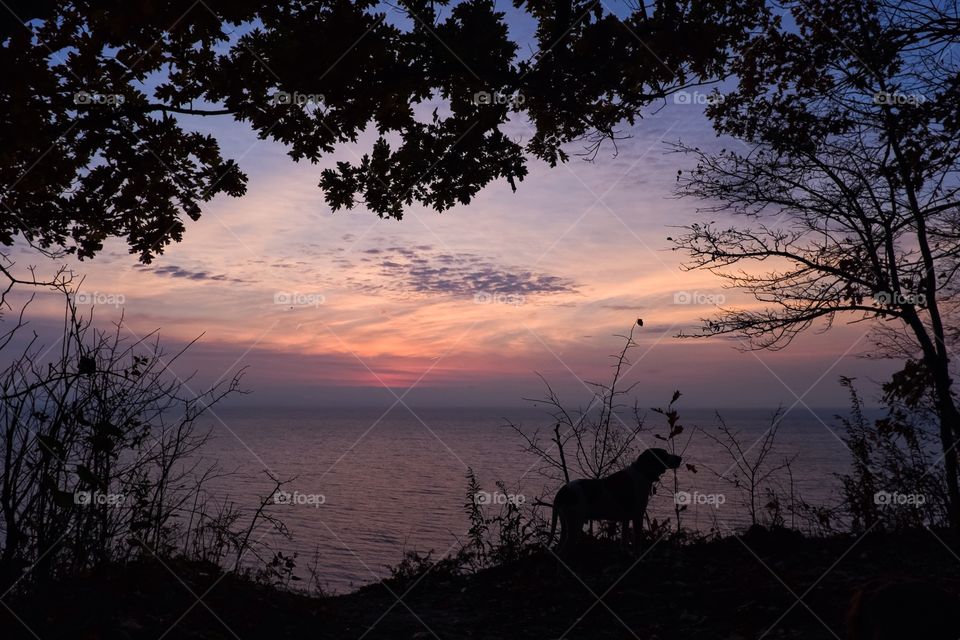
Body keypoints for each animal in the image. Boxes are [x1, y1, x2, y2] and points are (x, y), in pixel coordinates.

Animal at [548, 448, 684, 556]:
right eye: (664, 454)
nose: (680, 458)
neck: (642, 471)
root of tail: (563, 491)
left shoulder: (626, 519)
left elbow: (624, 540)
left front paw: (626, 553)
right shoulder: (637, 516)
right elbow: (637, 542)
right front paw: (638, 556)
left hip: (566, 525)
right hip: (575, 525)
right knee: (563, 551)